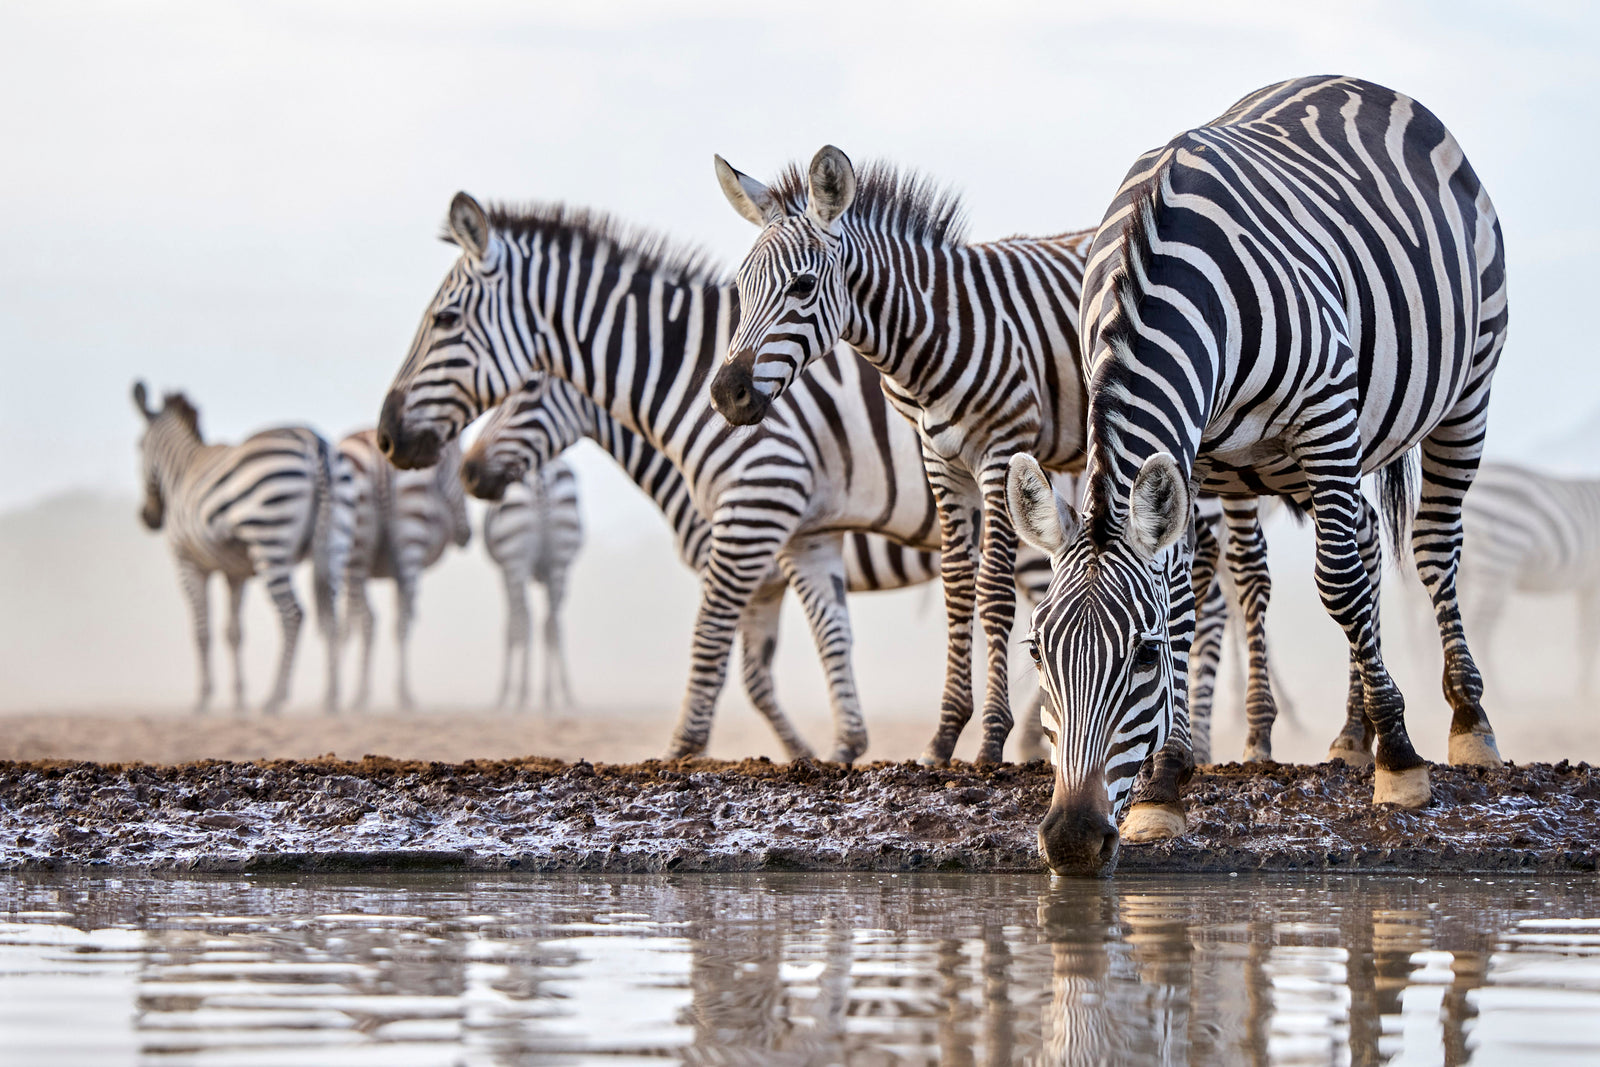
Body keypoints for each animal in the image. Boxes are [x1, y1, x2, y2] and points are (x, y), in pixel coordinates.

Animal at [132, 382, 353, 713]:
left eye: (139, 446)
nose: (149, 518)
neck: (182, 470)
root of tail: (314, 443)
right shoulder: (235, 572)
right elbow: (233, 632)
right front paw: (238, 698)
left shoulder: (189, 563)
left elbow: (202, 631)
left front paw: (204, 697)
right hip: (334, 541)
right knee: (331, 616)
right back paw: (331, 696)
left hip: (270, 541)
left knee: (293, 614)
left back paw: (276, 696)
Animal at [336, 430, 472, 710]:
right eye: (460, 470)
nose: (467, 535)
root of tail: (378, 456)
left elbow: (358, 620)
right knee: (397, 621)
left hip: (367, 548)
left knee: (378, 620)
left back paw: (371, 692)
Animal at [479, 457, 585, 712]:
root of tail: (542, 477)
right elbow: (549, 625)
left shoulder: (503, 571)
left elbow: (511, 626)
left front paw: (503, 694)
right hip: (560, 560)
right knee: (552, 624)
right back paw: (554, 695)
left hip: (515, 557)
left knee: (524, 621)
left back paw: (521, 694)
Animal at [1006, 75, 1508, 874]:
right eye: (1036, 651)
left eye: (1142, 656)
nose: (1073, 843)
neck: (1159, 266)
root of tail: (1358, 82)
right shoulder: (1195, 453)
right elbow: (1186, 599)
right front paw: (1165, 786)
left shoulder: (1326, 405)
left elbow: (1337, 585)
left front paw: (1401, 761)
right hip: (1278, 461)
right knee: (1367, 539)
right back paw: (1351, 736)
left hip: (1464, 387)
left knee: (1428, 546)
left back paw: (1467, 722)